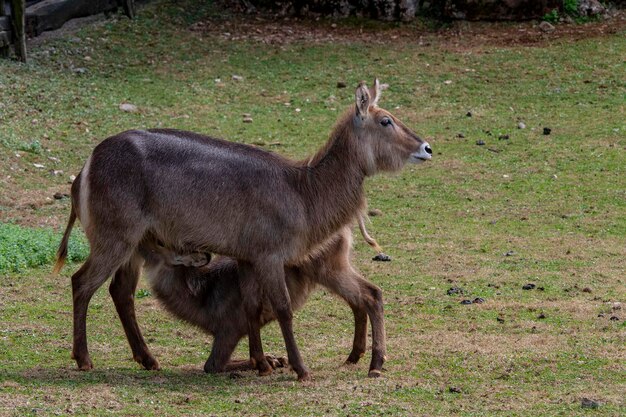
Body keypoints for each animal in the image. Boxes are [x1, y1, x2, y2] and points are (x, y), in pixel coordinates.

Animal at [56, 78, 432, 380]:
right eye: (386, 120)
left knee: (121, 291)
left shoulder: (248, 258)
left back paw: (148, 359)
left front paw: (262, 363)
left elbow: (251, 306)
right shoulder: (270, 254)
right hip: (114, 238)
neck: (303, 192)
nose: (427, 148)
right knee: (81, 282)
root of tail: (85, 169)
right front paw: (300, 369)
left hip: (136, 245)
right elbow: (282, 307)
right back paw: (84, 359)